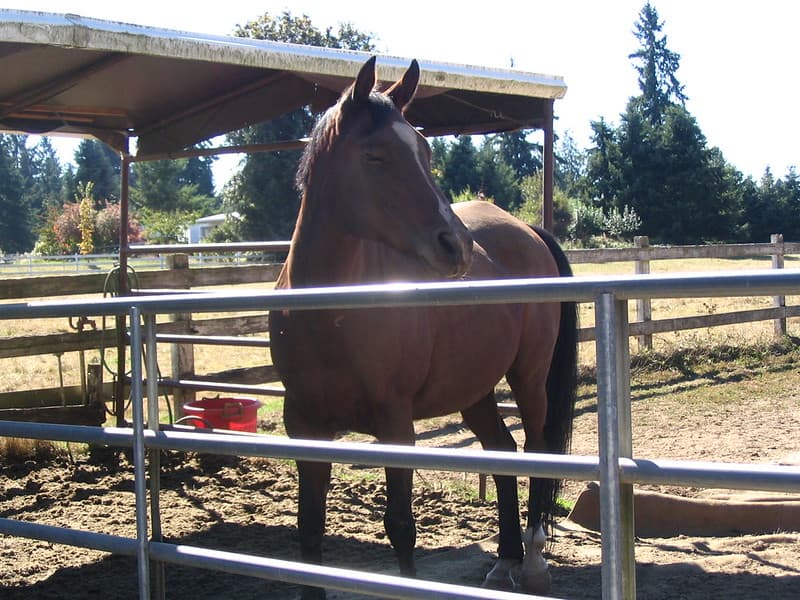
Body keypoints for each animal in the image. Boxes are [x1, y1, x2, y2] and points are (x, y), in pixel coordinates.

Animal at [269, 56, 578, 599]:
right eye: (374, 156)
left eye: (426, 150)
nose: (456, 245)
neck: (330, 313)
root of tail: (528, 231)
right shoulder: (303, 424)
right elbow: (309, 530)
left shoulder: (396, 425)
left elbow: (400, 526)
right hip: (474, 388)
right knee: (503, 450)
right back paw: (505, 557)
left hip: (529, 377)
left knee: (537, 450)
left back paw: (534, 560)